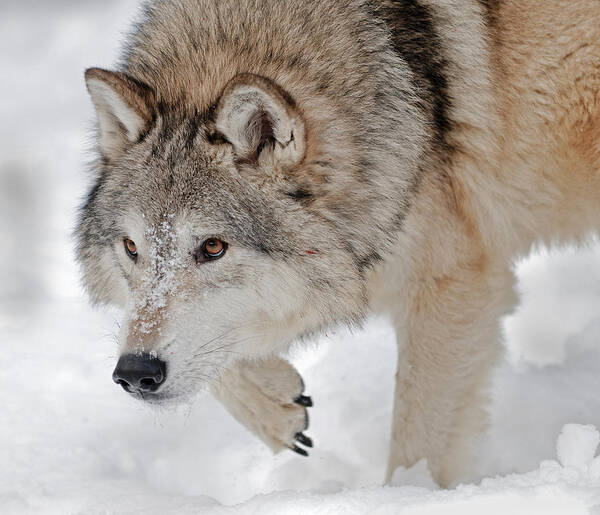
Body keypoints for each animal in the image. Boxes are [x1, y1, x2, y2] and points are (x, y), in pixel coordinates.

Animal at [77, 0, 600, 488]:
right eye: (131, 248)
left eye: (212, 248)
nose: (134, 374)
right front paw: (277, 406)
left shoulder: (452, 286)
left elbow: (418, 442)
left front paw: (406, 496)